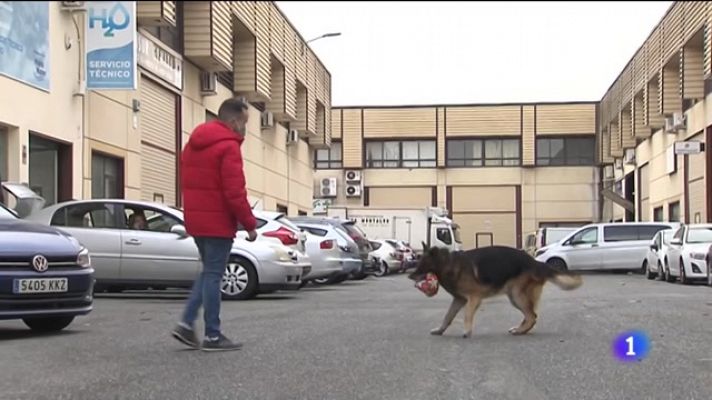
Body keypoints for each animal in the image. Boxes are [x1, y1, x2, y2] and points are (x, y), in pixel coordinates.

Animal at [408, 244, 580, 338]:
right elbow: (447, 317)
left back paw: (520, 331)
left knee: (532, 316)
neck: (448, 263)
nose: (410, 276)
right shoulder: (459, 300)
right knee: (530, 316)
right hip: (514, 297)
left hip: (516, 295)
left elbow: (467, 315)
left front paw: (467, 331)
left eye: (422, 264)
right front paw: (440, 330)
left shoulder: (473, 299)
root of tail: (536, 262)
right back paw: (520, 329)